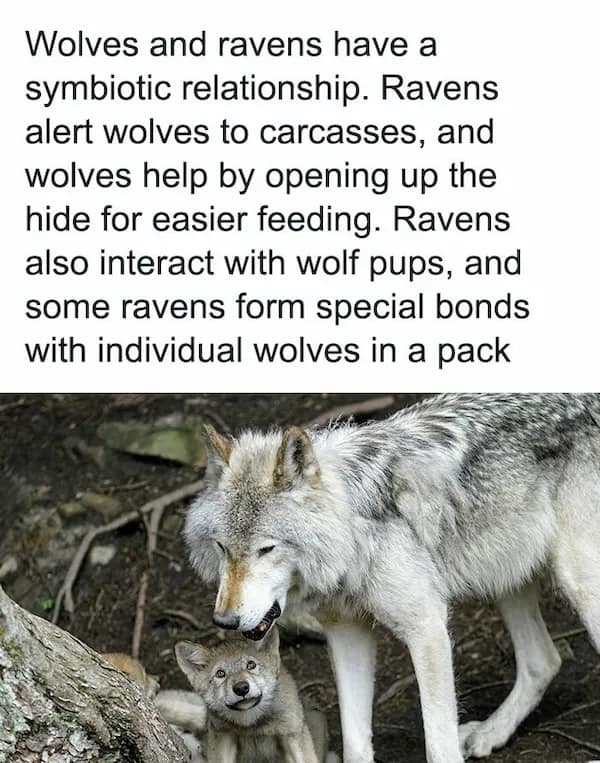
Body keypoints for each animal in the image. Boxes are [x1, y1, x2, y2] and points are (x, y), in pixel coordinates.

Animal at [174, 626, 337, 762]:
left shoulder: (292, 735)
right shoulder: (222, 737)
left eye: (251, 665)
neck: (253, 724)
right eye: (220, 674)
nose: (241, 688)